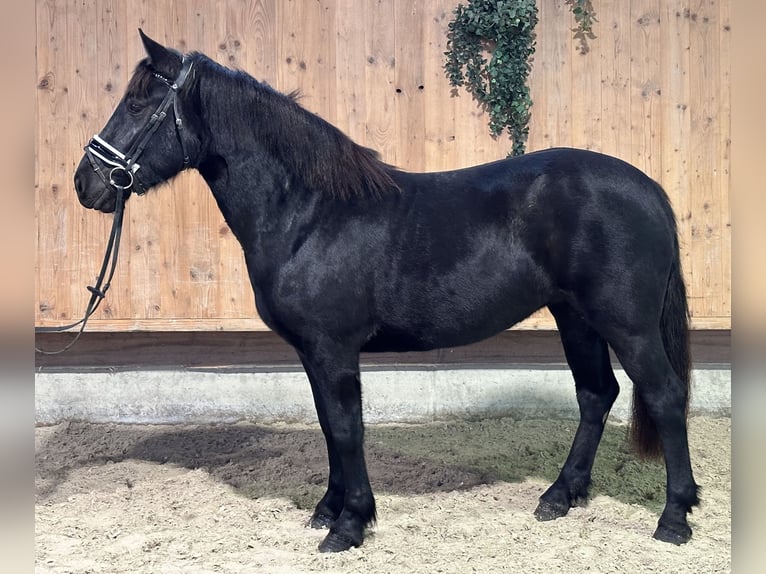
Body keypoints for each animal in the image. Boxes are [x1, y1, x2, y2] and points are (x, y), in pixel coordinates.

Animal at [75, 31, 700, 552]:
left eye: (138, 104)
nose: (86, 184)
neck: (307, 213)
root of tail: (648, 188)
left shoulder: (334, 348)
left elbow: (347, 428)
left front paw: (350, 525)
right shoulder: (313, 352)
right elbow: (329, 425)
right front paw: (328, 510)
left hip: (627, 325)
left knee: (665, 396)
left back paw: (673, 518)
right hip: (576, 318)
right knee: (596, 394)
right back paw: (559, 497)